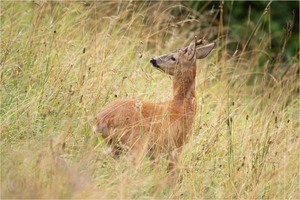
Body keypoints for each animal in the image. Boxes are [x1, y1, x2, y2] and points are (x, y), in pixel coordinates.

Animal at [94, 36, 216, 169]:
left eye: (173, 57)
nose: (153, 59)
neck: (183, 102)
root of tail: (102, 119)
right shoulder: (177, 146)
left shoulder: (158, 152)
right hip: (135, 144)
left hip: (115, 147)